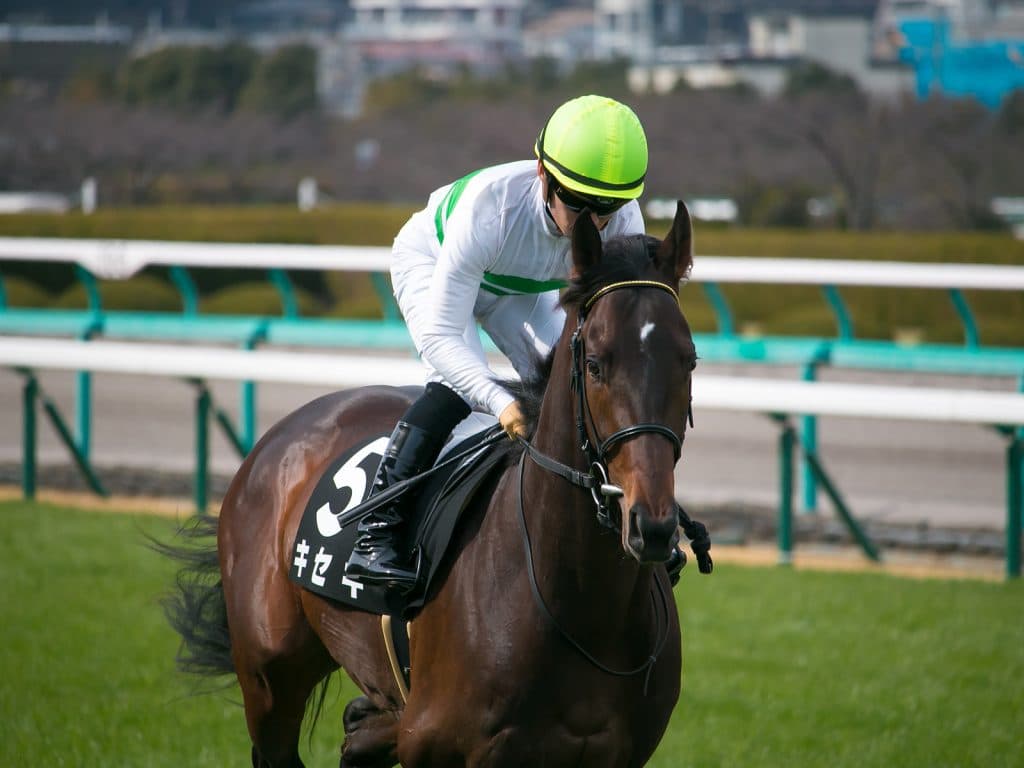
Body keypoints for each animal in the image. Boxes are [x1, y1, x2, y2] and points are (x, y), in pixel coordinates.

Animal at [162, 201, 704, 767]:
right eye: (595, 365)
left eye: (689, 359)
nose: (652, 527)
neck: (579, 607)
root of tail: (280, 436)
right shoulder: (436, 744)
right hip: (270, 678)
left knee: (361, 730)